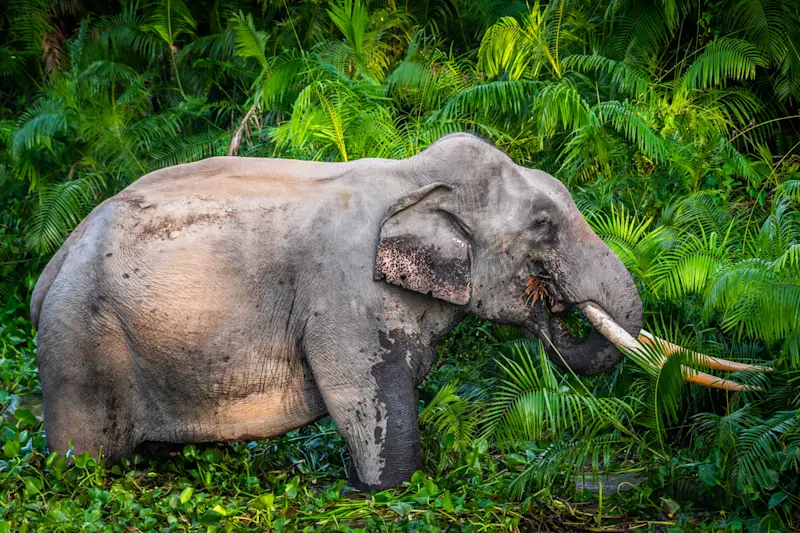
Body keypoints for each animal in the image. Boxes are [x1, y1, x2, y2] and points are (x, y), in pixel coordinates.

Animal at [31, 132, 744, 491]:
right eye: (543, 226)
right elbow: (363, 392)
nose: (555, 303)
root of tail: (51, 264)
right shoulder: (339, 293)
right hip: (81, 341)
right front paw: (384, 495)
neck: (415, 178)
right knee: (85, 460)